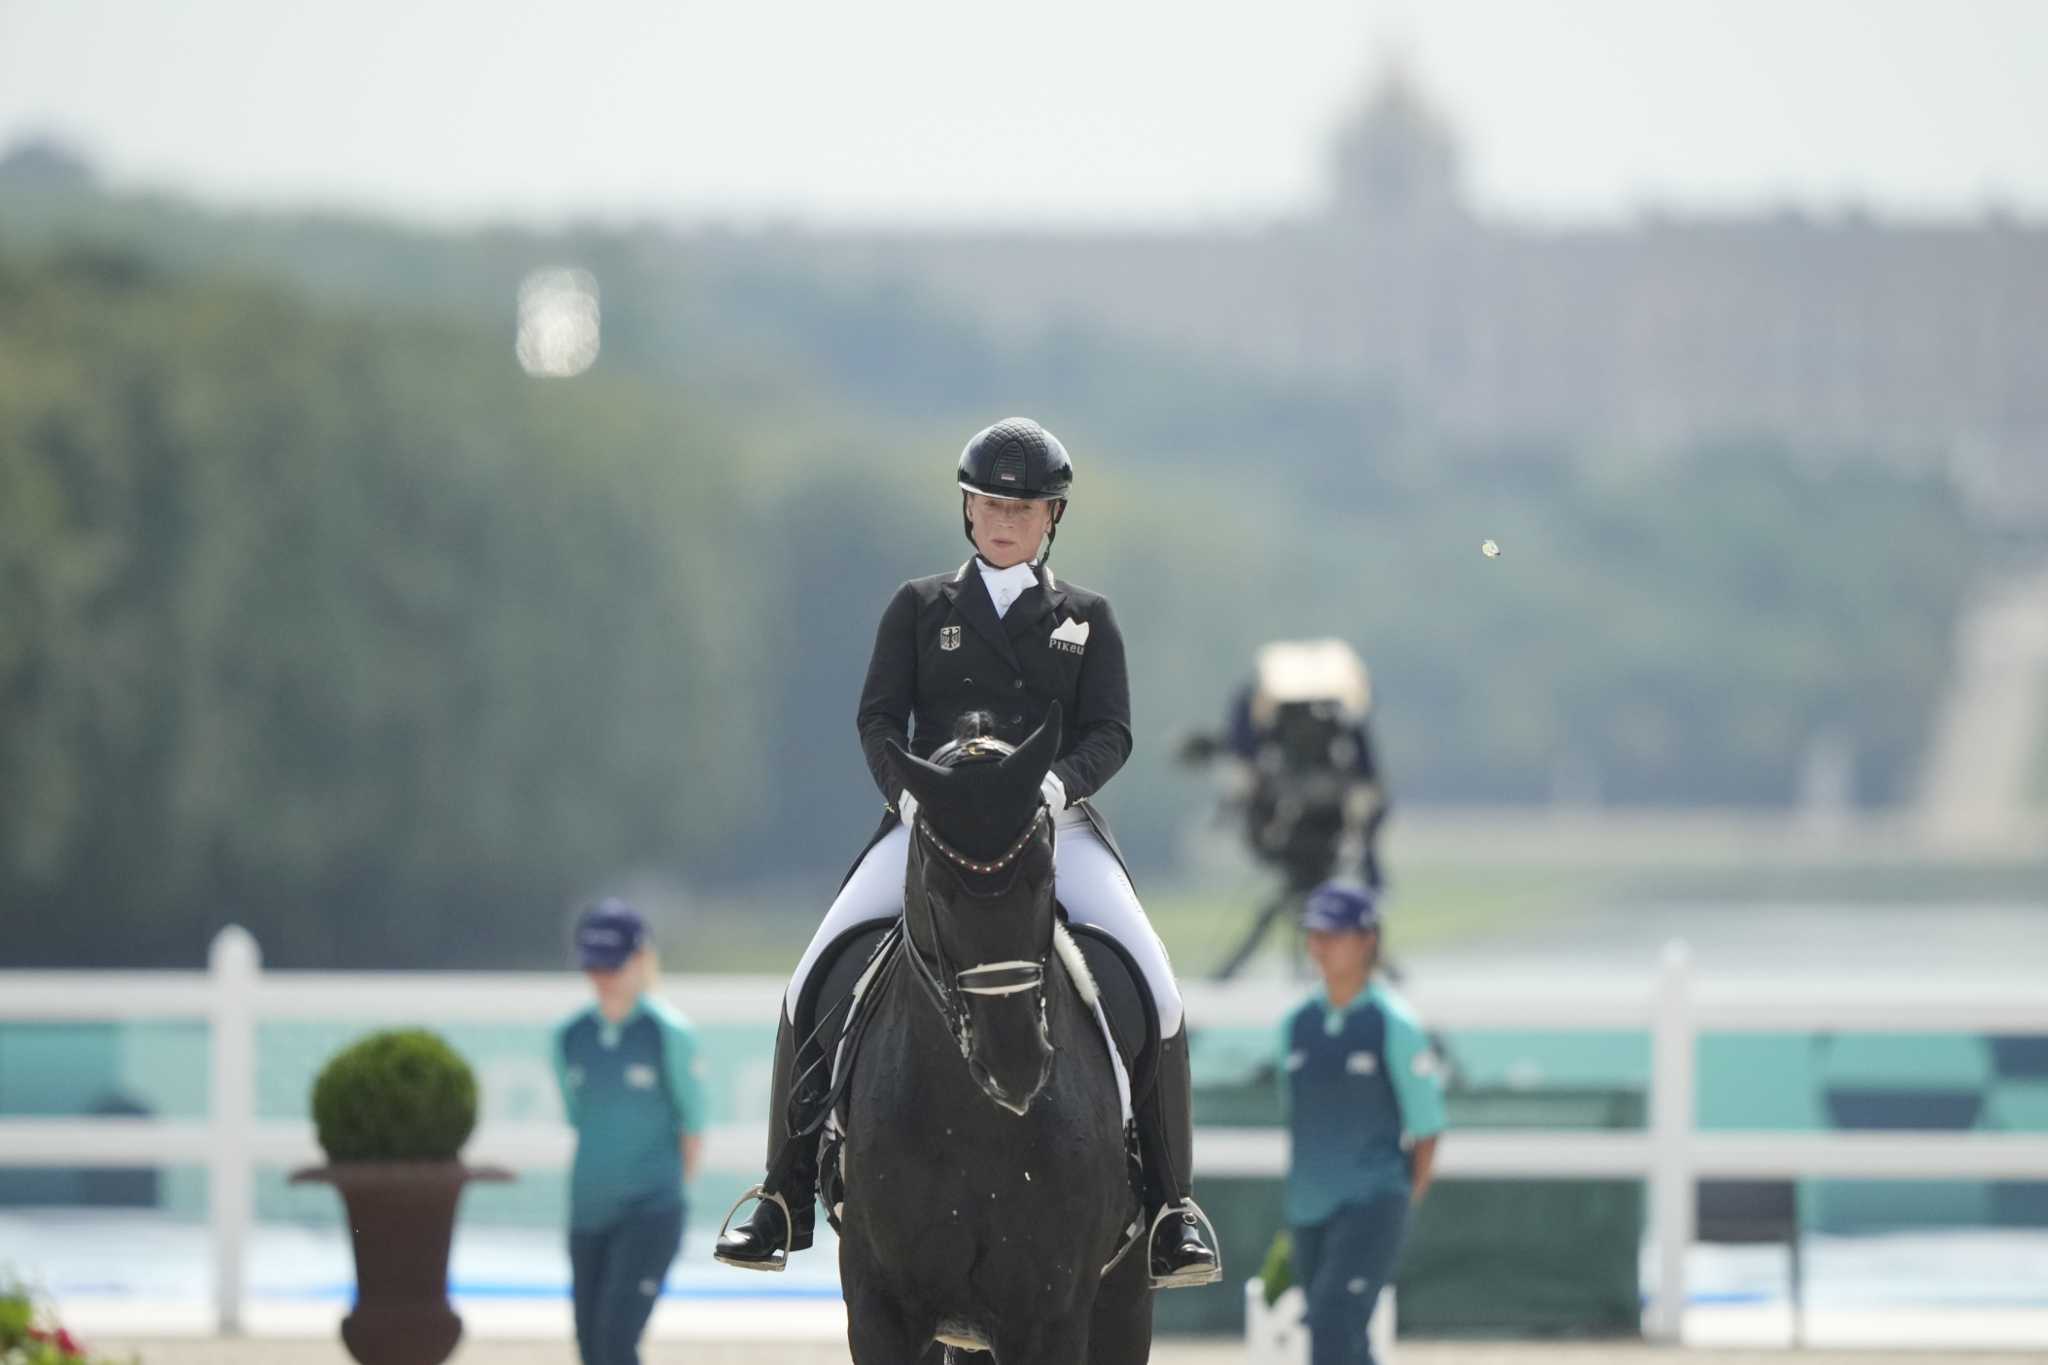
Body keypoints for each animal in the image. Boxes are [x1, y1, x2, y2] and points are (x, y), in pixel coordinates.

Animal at [831, 703, 1155, 1365]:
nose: (1015, 1063)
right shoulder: (879, 1312)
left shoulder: (1050, 1317)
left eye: (1046, 876)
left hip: (1124, 1300)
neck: (972, 1123)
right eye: (935, 887)